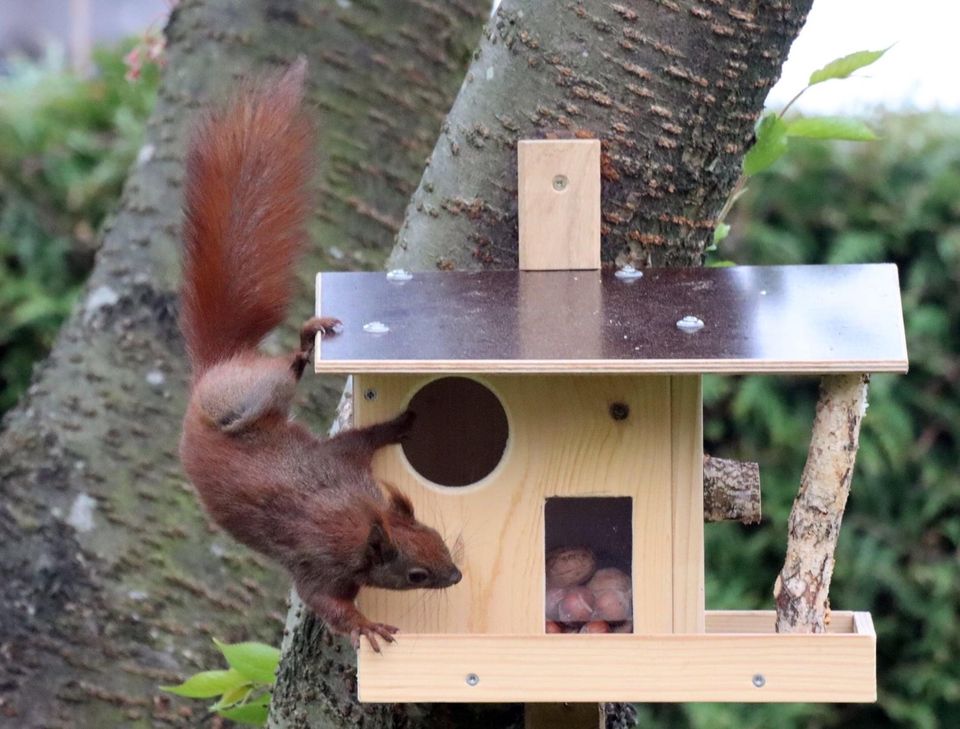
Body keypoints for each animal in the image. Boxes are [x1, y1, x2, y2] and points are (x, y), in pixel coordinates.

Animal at [177, 61, 462, 648]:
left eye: (432, 530)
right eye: (415, 574)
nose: (457, 574)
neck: (354, 515)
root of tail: (213, 368)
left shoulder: (341, 462)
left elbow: (362, 438)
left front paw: (401, 423)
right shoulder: (317, 564)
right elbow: (325, 603)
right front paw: (367, 625)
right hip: (234, 404)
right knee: (276, 377)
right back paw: (304, 342)